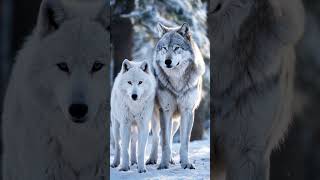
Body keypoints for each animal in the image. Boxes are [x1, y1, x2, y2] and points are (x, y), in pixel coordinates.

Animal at [152, 22, 205, 169]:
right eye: (164, 48)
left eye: (176, 48)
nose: (167, 61)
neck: (177, 83)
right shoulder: (165, 110)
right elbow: (164, 143)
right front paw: (163, 164)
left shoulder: (187, 111)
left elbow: (184, 143)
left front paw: (185, 163)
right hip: (154, 118)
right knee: (156, 137)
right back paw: (151, 159)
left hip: (175, 121)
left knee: (170, 136)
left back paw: (171, 160)